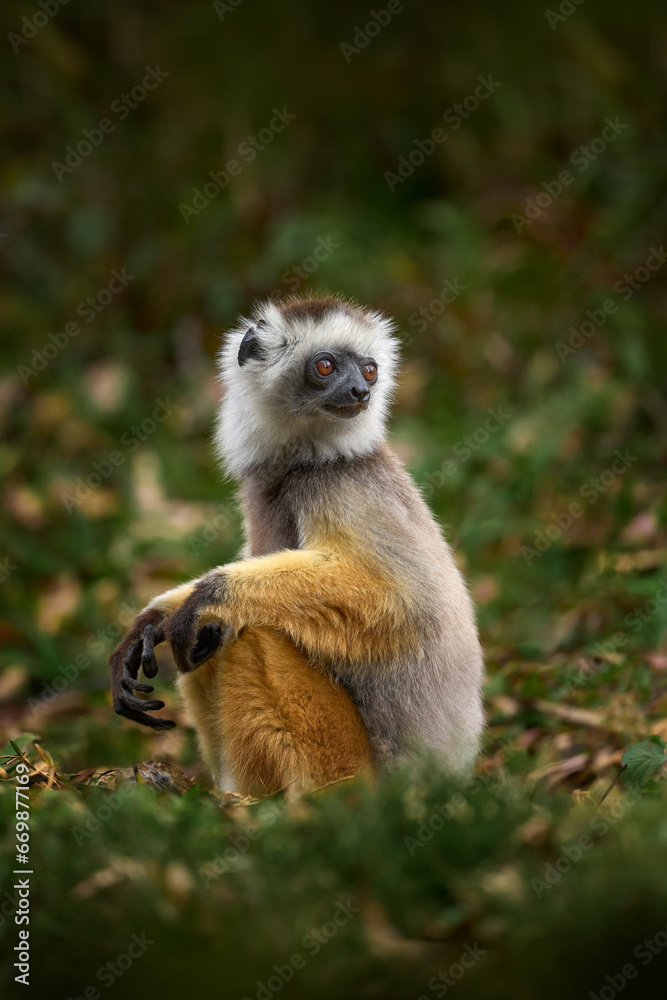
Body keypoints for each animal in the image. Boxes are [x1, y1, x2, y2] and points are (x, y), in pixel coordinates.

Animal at [110, 294, 484, 796]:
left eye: (369, 371)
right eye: (325, 366)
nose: (360, 393)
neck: (305, 460)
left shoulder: (339, 486)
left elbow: (404, 603)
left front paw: (207, 596)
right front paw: (150, 620)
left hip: (349, 768)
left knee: (244, 635)